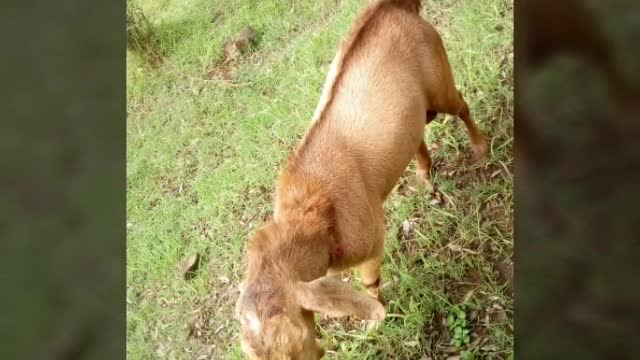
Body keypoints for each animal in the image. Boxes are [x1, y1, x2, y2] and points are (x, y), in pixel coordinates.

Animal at [238, 0, 488, 358]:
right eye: (250, 351)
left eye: (295, 339)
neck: (312, 208)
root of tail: (389, 7)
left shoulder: (370, 238)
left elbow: (369, 280)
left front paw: (374, 321)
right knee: (418, 132)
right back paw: (424, 175)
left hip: (439, 78)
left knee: (461, 104)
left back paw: (480, 146)